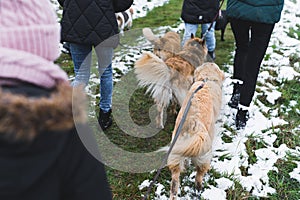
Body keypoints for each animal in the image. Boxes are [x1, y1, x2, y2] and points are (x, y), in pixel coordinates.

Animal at [166, 63, 225, 200]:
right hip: (204, 156)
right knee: (199, 174)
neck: (206, 80)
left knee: (174, 183)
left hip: (176, 154)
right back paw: (199, 188)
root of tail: (192, 124)